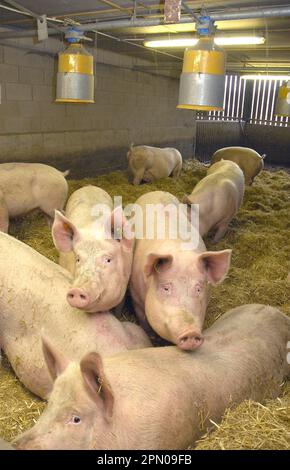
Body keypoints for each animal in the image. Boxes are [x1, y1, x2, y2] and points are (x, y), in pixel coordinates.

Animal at [129, 190, 231, 348]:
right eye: (166, 288)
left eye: (198, 289)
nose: (191, 333)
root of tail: (156, 191)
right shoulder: (136, 298)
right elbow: (144, 323)